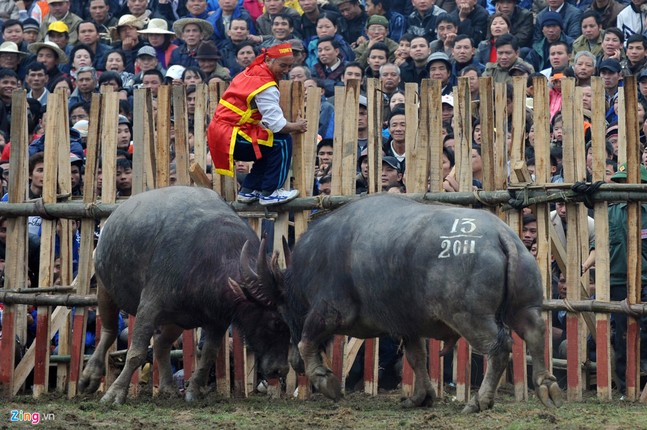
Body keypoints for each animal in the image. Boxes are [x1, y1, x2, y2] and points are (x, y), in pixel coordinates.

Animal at [80, 186, 292, 404]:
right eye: (276, 322)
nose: (281, 370)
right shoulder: (149, 306)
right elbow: (135, 353)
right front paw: (115, 393)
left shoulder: (217, 321)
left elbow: (208, 356)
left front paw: (193, 391)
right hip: (105, 288)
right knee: (109, 331)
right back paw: (90, 376)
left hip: (177, 319)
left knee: (161, 344)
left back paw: (168, 387)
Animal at [237, 193, 560, 412]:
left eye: (279, 317)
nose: (286, 367)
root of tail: (501, 236)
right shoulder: (407, 325)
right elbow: (416, 358)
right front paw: (421, 397)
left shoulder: (328, 312)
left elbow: (306, 341)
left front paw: (327, 382)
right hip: (524, 307)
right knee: (535, 333)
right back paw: (547, 386)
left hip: (470, 317)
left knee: (499, 346)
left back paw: (479, 401)